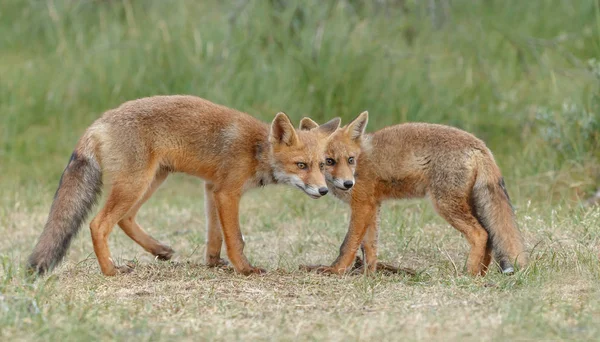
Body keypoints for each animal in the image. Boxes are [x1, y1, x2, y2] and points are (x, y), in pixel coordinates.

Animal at [28, 95, 340, 276]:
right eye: (301, 165)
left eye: (322, 165)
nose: (324, 190)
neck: (256, 150)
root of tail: (97, 123)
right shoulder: (227, 192)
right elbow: (235, 238)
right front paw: (245, 269)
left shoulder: (212, 189)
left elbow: (215, 235)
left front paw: (213, 263)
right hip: (135, 184)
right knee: (99, 224)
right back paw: (111, 270)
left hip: (151, 180)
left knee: (125, 219)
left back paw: (159, 250)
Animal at [298, 113, 524, 276]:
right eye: (329, 161)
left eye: (350, 159)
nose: (348, 183)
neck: (359, 164)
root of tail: (480, 145)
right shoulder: (372, 205)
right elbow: (369, 246)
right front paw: (368, 275)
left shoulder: (362, 205)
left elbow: (348, 244)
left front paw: (336, 270)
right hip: (468, 204)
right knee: (490, 237)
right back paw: (481, 275)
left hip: (446, 204)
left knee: (480, 234)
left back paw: (467, 275)